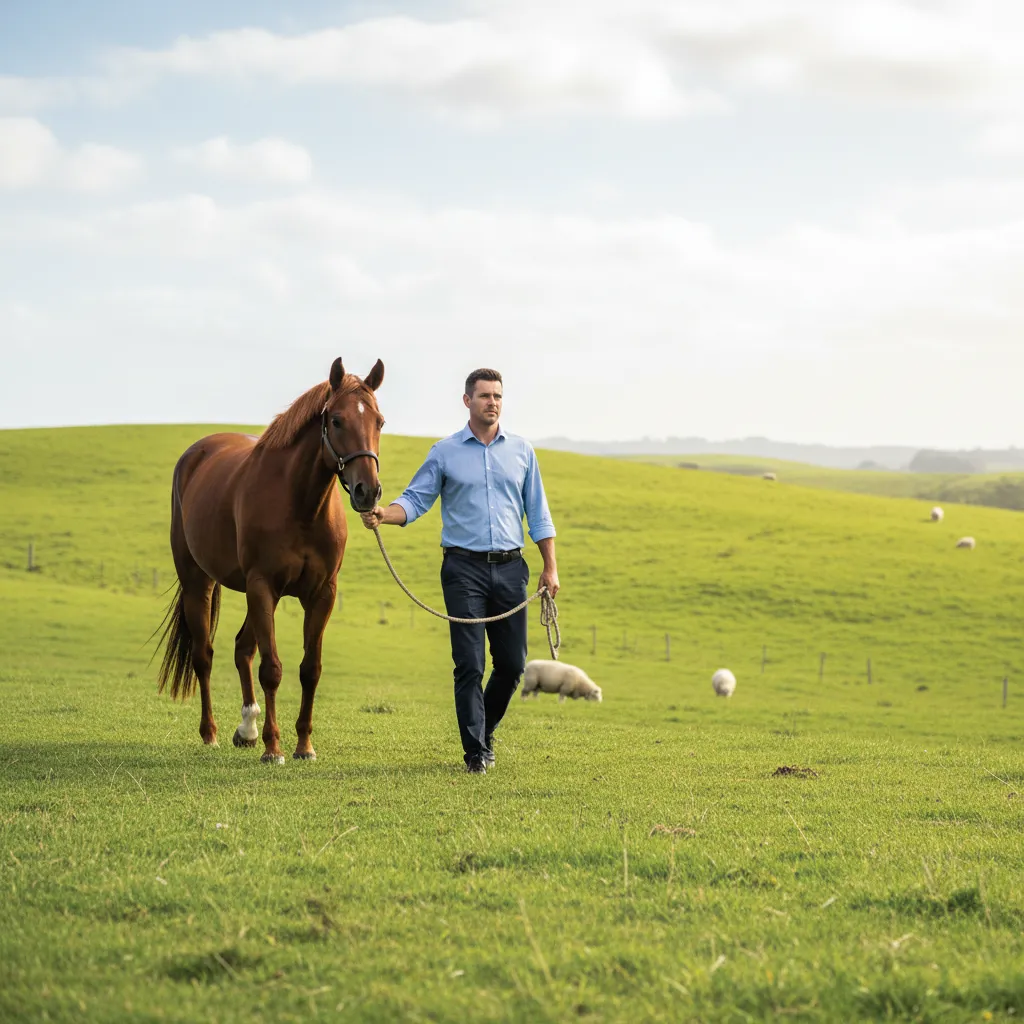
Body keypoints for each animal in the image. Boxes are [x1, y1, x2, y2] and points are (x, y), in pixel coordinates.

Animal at [154, 357, 384, 763]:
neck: (301, 504)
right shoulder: (262, 584)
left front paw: (304, 746)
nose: (367, 491)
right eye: (337, 420)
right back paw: (211, 733)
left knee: (242, 648)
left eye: (380, 422)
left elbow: (310, 669)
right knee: (204, 655)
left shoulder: (321, 594)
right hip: (201, 583)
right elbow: (272, 669)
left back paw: (247, 728)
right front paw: (273, 748)